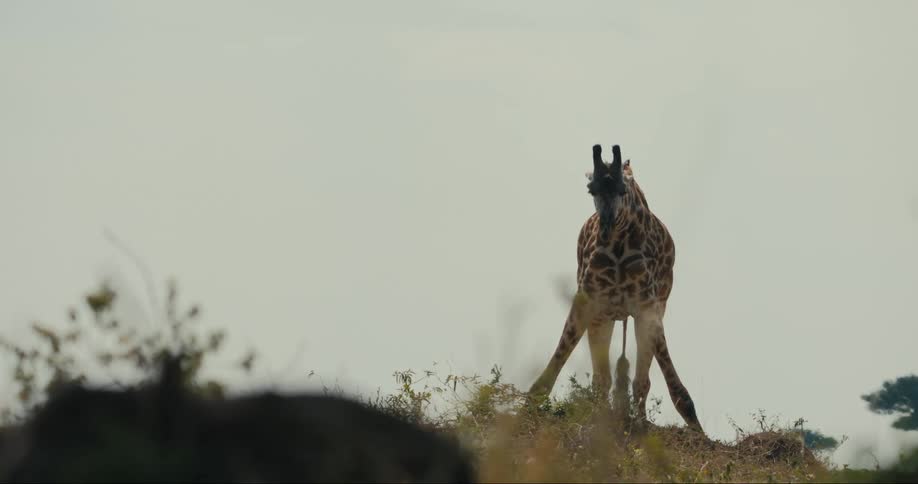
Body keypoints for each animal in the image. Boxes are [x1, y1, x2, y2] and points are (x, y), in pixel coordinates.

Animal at [528, 143, 703, 433]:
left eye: (622, 190)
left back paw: (638, 421)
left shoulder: (648, 306)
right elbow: (559, 363)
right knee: (603, 379)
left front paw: (696, 431)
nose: (606, 229)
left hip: (648, 309)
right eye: (592, 190)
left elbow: (671, 388)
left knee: (639, 380)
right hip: (604, 317)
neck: (620, 245)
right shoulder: (587, 301)